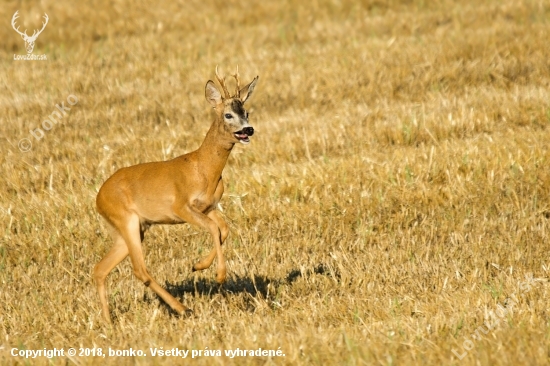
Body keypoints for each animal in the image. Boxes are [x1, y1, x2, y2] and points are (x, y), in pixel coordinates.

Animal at [94, 66, 260, 324]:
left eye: (247, 112)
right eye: (228, 115)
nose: (248, 129)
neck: (203, 168)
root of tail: (98, 197)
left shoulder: (209, 207)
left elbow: (223, 229)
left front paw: (198, 266)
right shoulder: (180, 206)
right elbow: (214, 229)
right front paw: (219, 275)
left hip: (132, 227)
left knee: (100, 269)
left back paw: (108, 320)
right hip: (126, 219)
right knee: (139, 269)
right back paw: (182, 309)